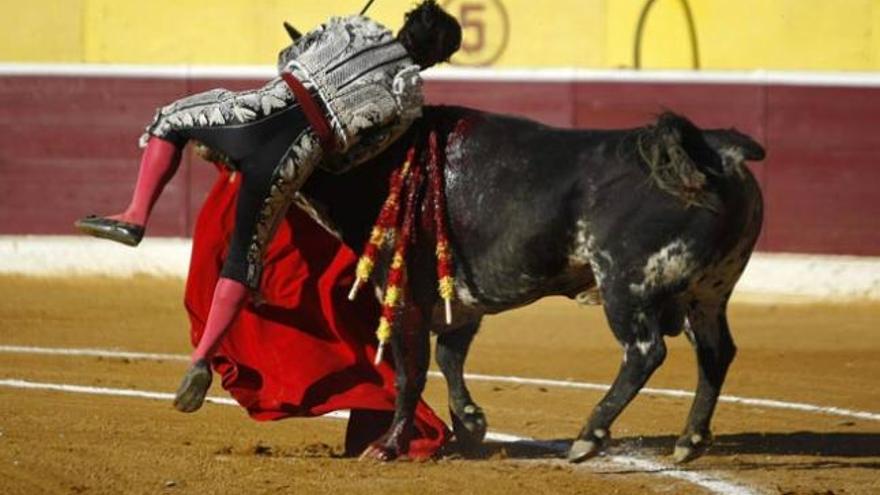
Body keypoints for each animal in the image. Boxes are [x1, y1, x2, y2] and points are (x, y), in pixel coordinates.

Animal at [298, 105, 764, 464]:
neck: (384, 161)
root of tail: (715, 152)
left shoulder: (402, 294)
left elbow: (409, 372)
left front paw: (388, 446)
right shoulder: (462, 299)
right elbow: (450, 356)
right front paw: (470, 425)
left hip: (625, 286)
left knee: (645, 352)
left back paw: (588, 437)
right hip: (708, 293)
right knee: (715, 352)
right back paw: (689, 441)